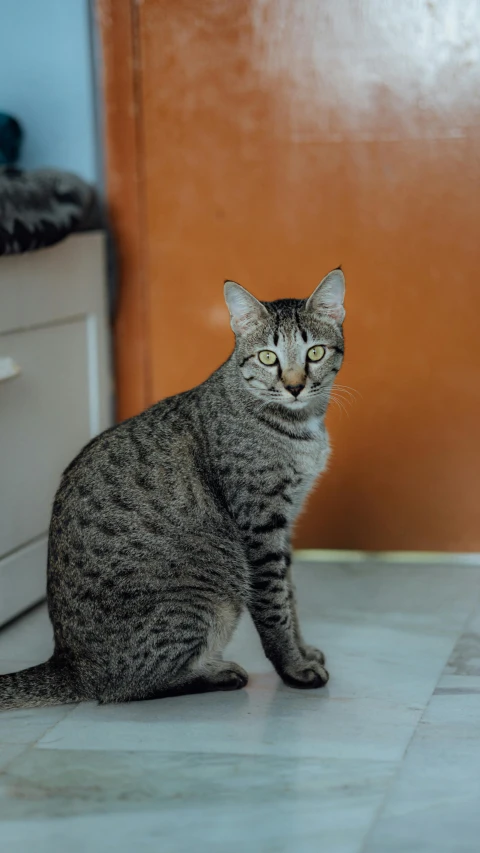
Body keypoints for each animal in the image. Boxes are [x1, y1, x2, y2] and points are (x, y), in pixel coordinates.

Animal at [0, 270, 344, 708]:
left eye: (315, 353)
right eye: (268, 357)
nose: (296, 386)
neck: (299, 427)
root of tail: (68, 664)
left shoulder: (284, 526)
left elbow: (291, 598)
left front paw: (303, 650)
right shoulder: (260, 526)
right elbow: (274, 605)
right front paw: (294, 667)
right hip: (206, 601)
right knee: (126, 688)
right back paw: (216, 673)